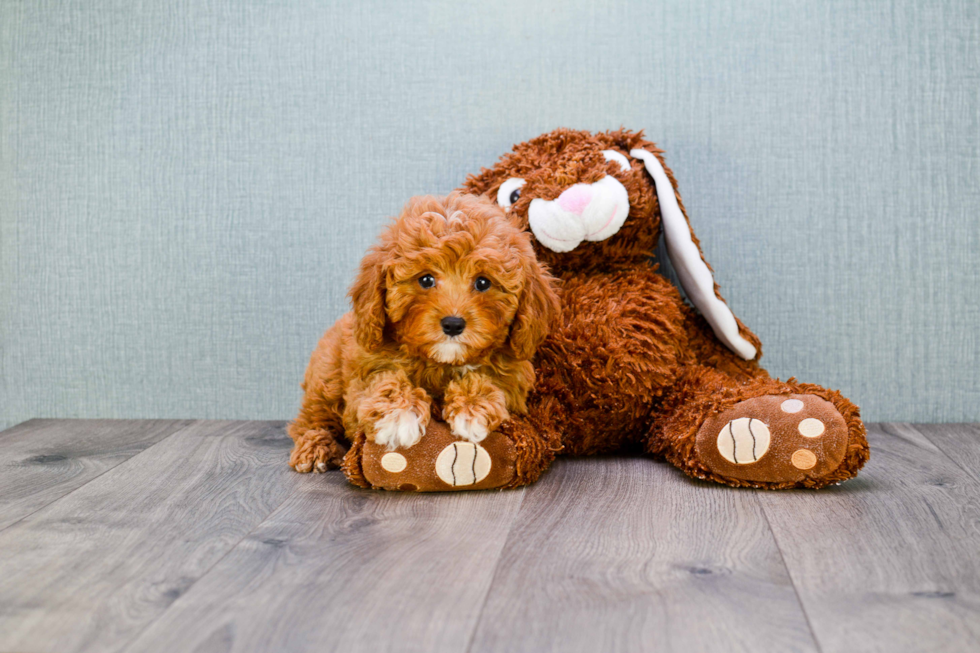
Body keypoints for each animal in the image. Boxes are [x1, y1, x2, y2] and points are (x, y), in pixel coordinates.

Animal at [288, 191, 560, 472]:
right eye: (426, 279)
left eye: (483, 282)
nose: (453, 324)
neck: (440, 362)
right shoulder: (362, 378)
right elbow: (383, 382)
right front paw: (399, 415)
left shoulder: (514, 381)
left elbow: (487, 379)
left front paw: (472, 408)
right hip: (326, 379)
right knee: (310, 420)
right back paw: (316, 448)